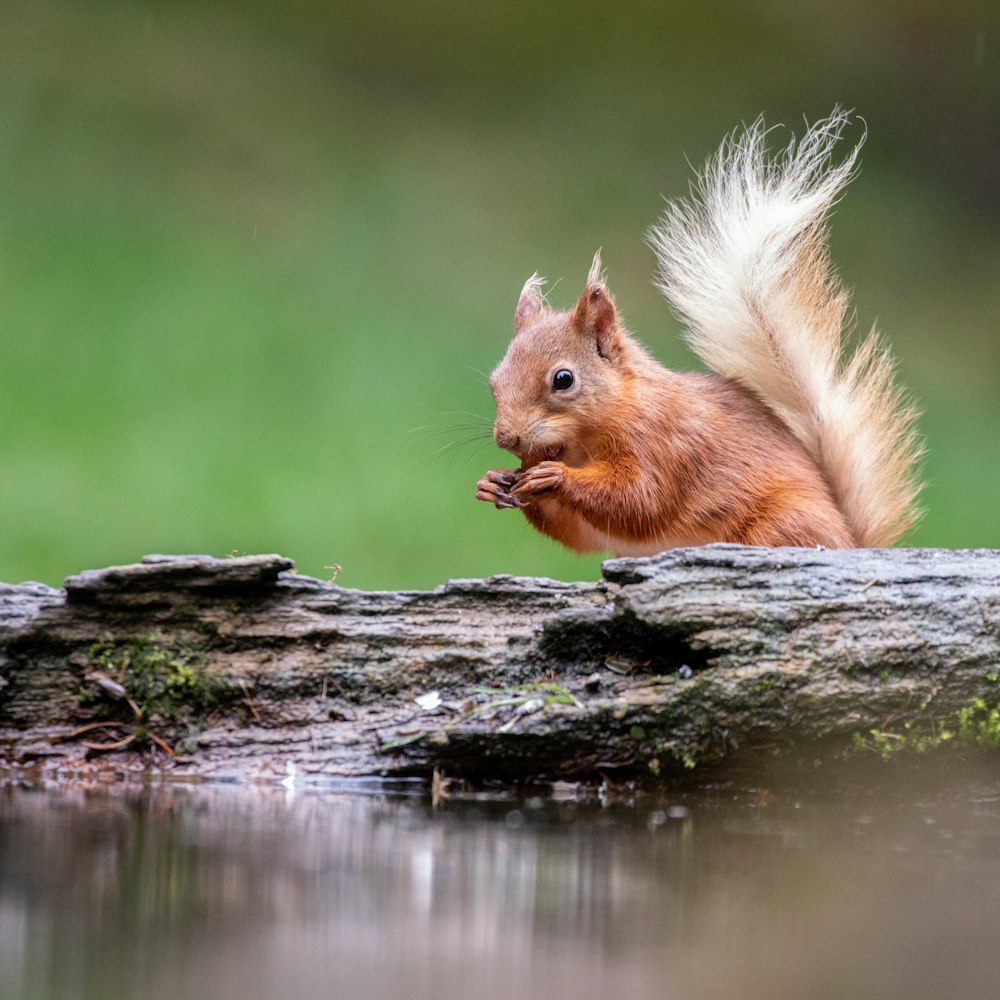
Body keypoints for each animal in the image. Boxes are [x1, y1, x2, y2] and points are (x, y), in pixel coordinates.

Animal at [476, 113, 920, 560]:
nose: (507, 437)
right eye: (494, 382)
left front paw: (556, 477)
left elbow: (639, 499)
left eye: (563, 379)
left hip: (784, 522)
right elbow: (581, 534)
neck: (587, 436)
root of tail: (850, 544)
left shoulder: (666, 446)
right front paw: (494, 482)